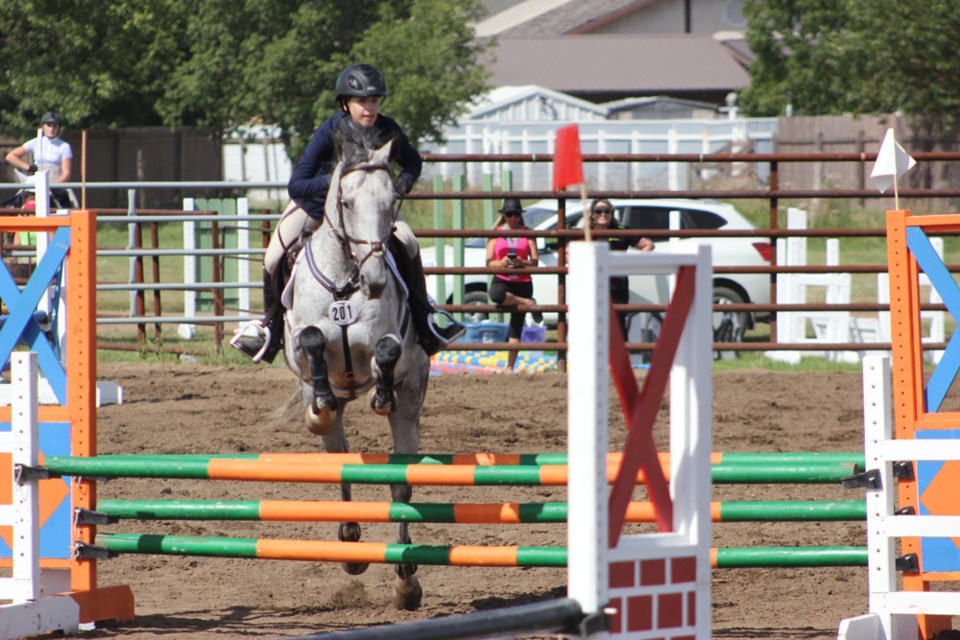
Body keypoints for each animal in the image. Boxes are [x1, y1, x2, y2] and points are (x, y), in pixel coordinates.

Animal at [284, 121, 430, 608]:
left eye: (390, 201)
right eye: (346, 203)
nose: (376, 281)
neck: (346, 278)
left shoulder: (391, 341)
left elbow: (385, 352)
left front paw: (380, 396)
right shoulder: (300, 343)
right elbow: (311, 338)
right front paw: (321, 403)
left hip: (412, 404)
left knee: (400, 481)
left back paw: (405, 580)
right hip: (332, 416)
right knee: (339, 456)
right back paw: (349, 544)